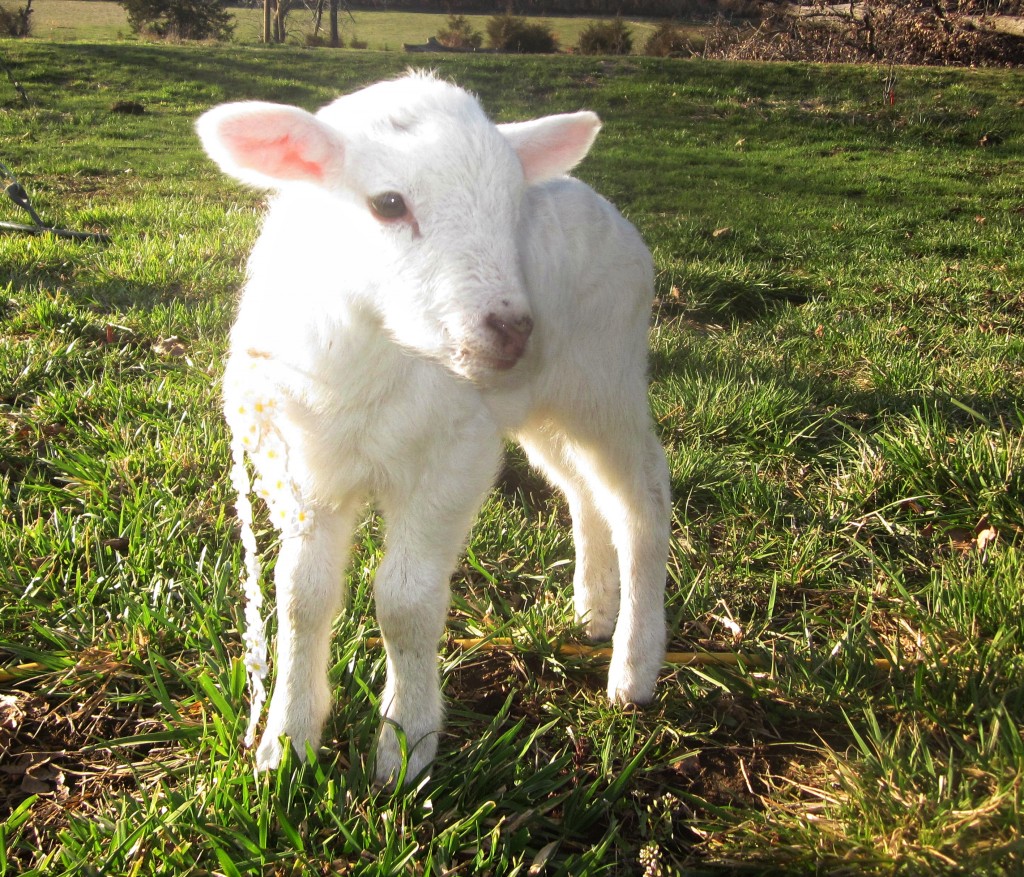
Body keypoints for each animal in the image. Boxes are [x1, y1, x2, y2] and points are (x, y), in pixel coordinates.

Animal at [197, 71, 671, 782]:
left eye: (513, 207)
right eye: (389, 204)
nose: (511, 330)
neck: (375, 348)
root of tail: (602, 204)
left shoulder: (455, 454)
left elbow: (404, 602)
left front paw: (405, 746)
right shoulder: (308, 469)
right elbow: (301, 597)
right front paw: (287, 745)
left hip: (605, 377)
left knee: (641, 496)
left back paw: (633, 666)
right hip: (541, 402)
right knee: (583, 492)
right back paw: (593, 609)